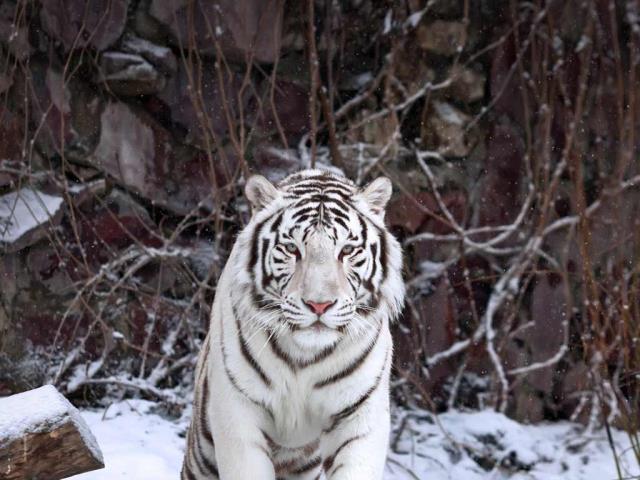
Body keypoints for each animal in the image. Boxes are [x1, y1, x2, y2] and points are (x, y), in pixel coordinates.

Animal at [181, 168, 405, 480]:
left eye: (347, 250)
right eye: (291, 248)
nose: (319, 304)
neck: (305, 356)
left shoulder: (359, 417)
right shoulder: (238, 412)